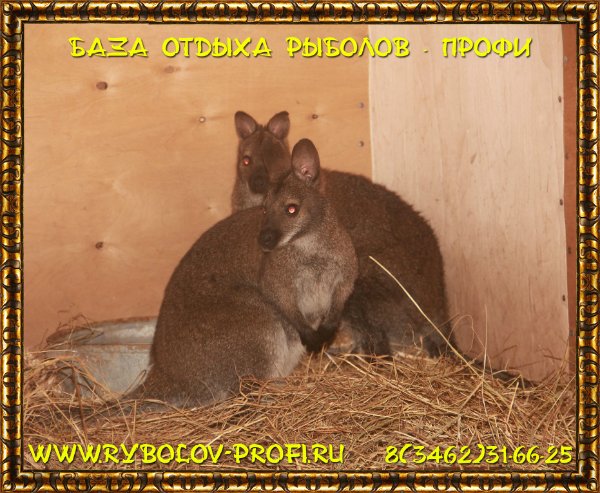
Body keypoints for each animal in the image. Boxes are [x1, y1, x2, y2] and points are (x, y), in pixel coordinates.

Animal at [232, 111, 449, 356]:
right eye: (246, 160)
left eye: (280, 165)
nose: (258, 183)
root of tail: (439, 314)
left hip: (366, 279)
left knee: (379, 347)